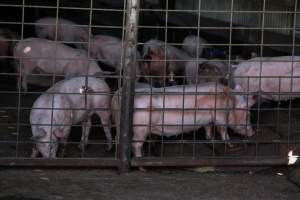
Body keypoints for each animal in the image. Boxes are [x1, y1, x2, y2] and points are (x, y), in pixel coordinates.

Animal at [111, 82, 254, 159]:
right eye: (248, 114)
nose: (253, 133)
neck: (231, 101)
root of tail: (117, 96)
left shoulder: (208, 119)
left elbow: (208, 129)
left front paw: (210, 139)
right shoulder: (219, 114)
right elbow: (223, 130)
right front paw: (232, 146)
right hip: (140, 127)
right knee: (136, 144)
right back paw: (141, 163)